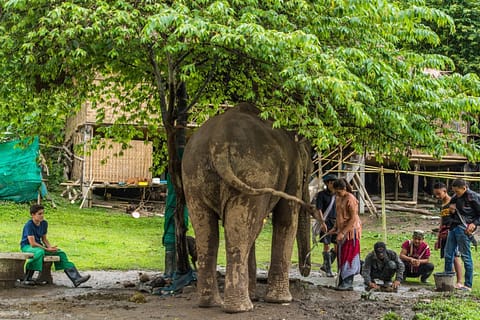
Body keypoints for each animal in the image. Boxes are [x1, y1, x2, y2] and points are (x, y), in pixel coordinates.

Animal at [182, 102, 314, 312]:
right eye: (307, 175)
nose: (305, 270)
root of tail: (218, 142)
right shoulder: (292, 172)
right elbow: (286, 220)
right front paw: (280, 300)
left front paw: (257, 295)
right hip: (253, 174)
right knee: (241, 231)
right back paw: (241, 308)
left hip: (192, 176)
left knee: (208, 232)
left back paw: (210, 303)